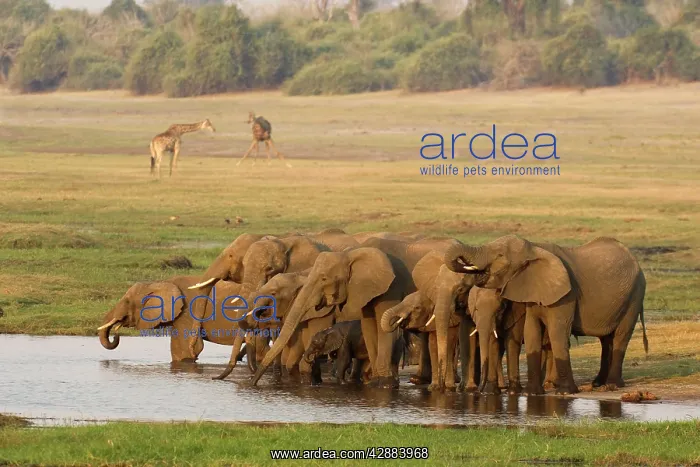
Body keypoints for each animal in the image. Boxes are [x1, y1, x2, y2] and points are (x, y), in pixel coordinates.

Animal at [250, 237, 461, 388]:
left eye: (324, 278)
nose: (253, 384)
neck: (350, 255)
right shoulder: (364, 289)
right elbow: (369, 327)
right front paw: (375, 381)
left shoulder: (391, 286)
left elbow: (382, 326)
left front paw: (385, 383)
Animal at [444, 235, 649, 395]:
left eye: (500, 256)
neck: (535, 248)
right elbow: (531, 330)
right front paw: (533, 393)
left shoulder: (566, 295)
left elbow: (557, 332)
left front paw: (565, 392)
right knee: (606, 339)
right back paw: (598, 383)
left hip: (635, 295)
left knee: (621, 336)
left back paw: (611, 385)